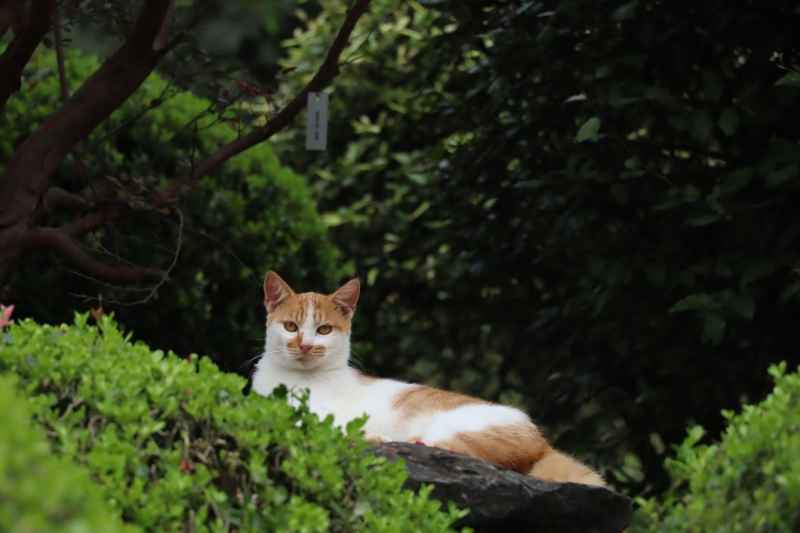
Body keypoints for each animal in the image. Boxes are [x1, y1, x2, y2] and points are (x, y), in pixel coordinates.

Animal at [253, 272, 604, 484]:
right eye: (291, 327)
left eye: (324, 330)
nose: (305, 345)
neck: (294, 379)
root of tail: (542, 441)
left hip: (461, 428)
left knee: (455, 452)